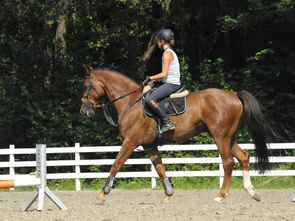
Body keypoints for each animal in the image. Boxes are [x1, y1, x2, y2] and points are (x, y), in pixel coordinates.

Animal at [80, 66, 270, 204]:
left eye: (87, 87)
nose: (83, 111)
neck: (130, 103)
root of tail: (233, 94)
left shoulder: (130, 142)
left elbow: (116, 164)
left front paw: (103, 192)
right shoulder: (149, 145)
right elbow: (160, 169)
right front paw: (169, 193)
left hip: (220, 137)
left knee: (228, 162)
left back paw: (221, 195)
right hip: (229, 137)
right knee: (243, 157)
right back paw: (252, 192)